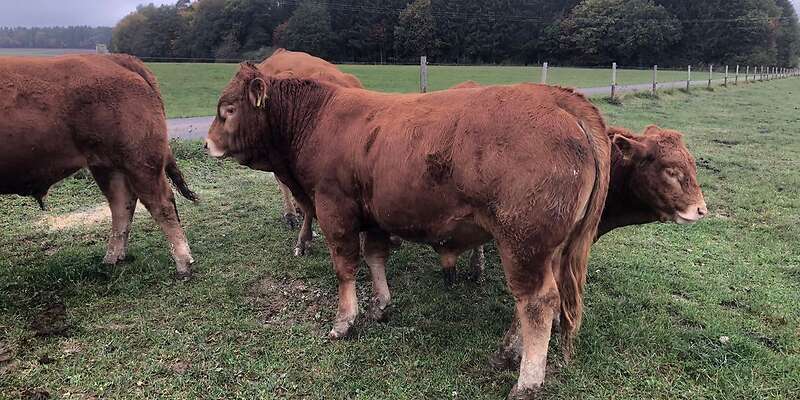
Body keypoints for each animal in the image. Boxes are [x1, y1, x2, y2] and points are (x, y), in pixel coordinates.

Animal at [0, 54, 197, 279]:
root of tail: (110, 58)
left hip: (140, 160)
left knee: (161, 204)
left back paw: (183, 264)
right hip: (108, 165)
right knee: (122, 203)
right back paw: (112, 258)